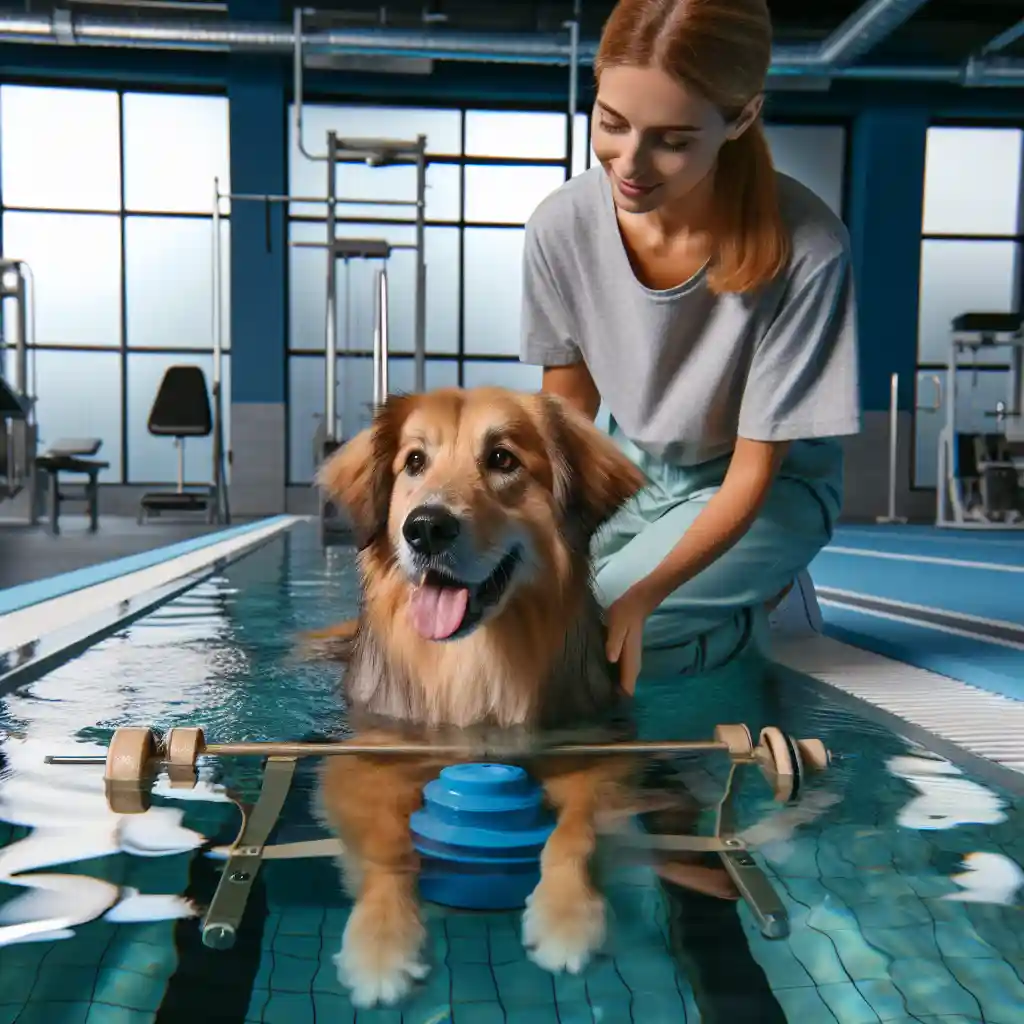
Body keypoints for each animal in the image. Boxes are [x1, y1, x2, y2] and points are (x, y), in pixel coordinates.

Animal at [315, 385, 643, 1007]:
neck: (475, 663)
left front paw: (568, 918)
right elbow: (388, 844)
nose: (425, 529)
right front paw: (381, 944)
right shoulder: (366, 760)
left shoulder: (595, 747)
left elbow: (578, 827)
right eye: (414, 462)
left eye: (502, 460)